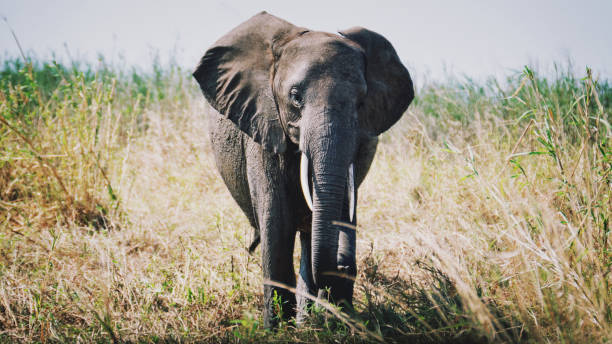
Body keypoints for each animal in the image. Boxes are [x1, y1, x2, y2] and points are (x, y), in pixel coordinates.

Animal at [194, 10, 414, 328]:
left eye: (361, 102)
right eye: (295, 96)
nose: (343, 266)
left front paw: (336, 323)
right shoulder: (264, 124)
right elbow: (276, 218)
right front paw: (276, 329)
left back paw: (309, 319)